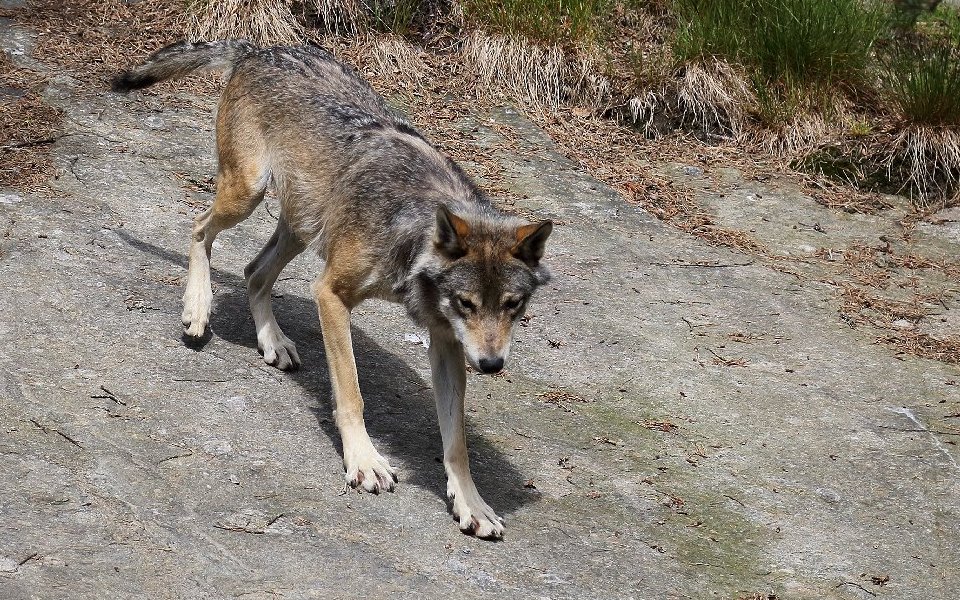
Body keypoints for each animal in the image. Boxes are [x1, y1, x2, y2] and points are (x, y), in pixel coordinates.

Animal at [110, 41, 556, 540]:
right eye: (467, 303)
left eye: (513, 306)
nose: (493, 365)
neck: (413, 228)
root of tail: (258, 49)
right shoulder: (330, 295)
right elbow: (352, 393)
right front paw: (364, 460)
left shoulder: (446, 343)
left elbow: (456, 441)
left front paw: (471, 503)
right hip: (249, 194)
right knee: (200, 228)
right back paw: (198, 308)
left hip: (302, 226)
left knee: (253, 271)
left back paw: (273, 340)